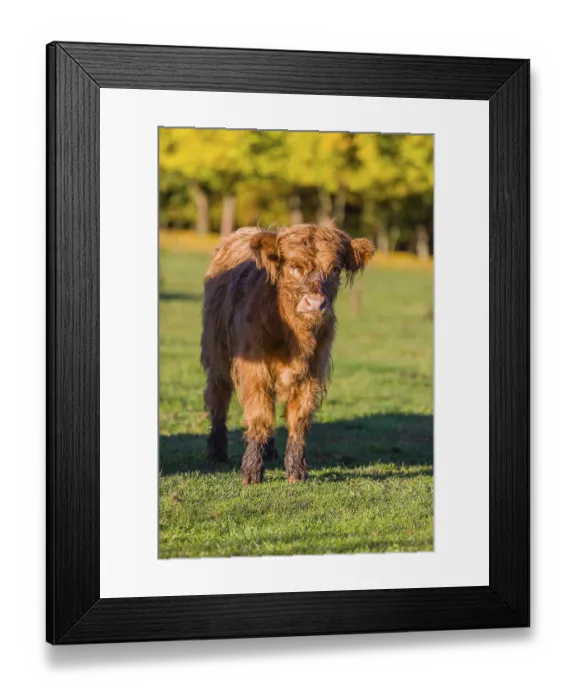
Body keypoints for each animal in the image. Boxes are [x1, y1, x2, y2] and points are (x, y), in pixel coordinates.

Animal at [201, 223, 375, 484]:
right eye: (294, 266)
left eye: (335, 269)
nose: (315, 304)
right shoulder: (254, 369)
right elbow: (259, 415)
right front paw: (251, 471)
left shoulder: (312, 372)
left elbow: (298, 420)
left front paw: (296, 470)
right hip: (216, 353)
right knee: (218, 397)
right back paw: (217, 451)